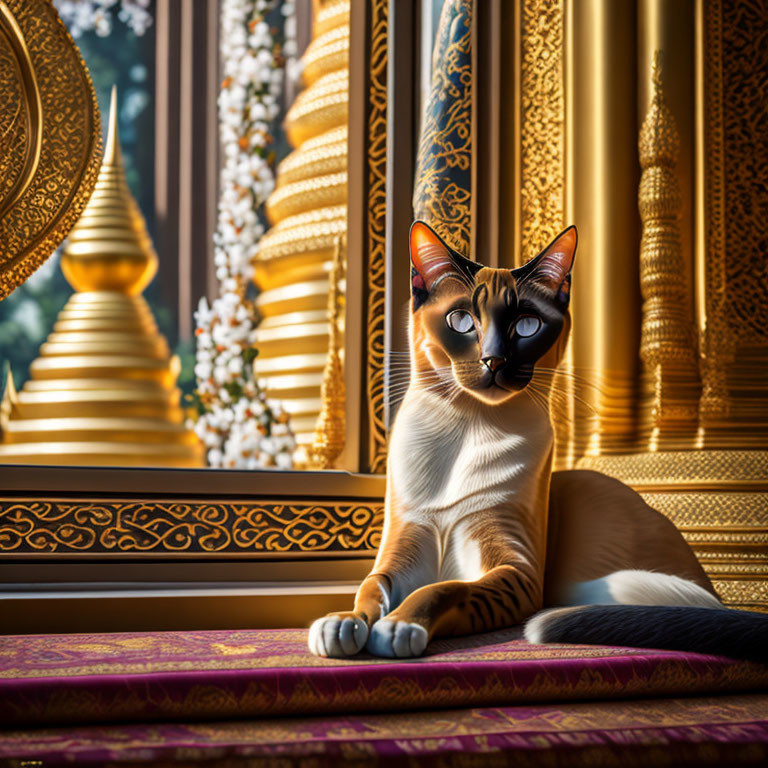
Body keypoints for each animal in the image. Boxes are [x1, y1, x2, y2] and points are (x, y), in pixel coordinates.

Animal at [308, 220, 768, 660]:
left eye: (527, 326)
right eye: (461, 321)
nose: (493, 360)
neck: (467, 428)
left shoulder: (517, 569)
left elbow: (445, 589)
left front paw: (400, 627)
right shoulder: (404, 546)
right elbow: (371, 587)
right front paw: (341, 624)